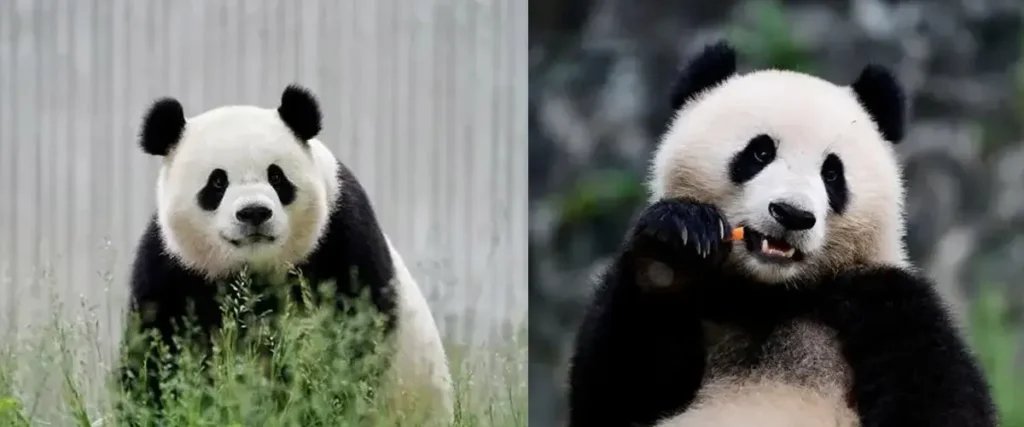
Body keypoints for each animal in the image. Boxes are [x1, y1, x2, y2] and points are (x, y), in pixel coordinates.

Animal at [117, 84, 453, 422]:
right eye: (217, 182)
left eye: (276, 177)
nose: (254, 212)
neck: (254, 272)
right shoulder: (173, 268)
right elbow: (157, 352)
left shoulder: (340, 239)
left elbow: (349, 339)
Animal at [566, 41, 997, 427]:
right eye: (759, 153)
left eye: (832, 173)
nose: (793, 214)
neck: (768, 295)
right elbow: (617, 392)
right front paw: (674, 247)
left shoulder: (887, 303)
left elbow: (944, 402)